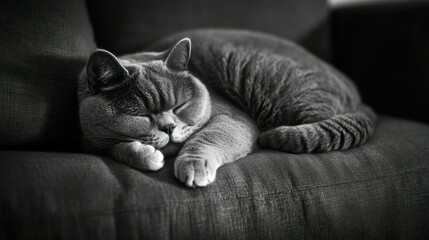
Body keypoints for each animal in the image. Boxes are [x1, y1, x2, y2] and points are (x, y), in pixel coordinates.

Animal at [77, 29, 374, 188]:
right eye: (140, 115)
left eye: (180, 106)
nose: (169, 127)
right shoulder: (93, 139)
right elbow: (114, 146)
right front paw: (144, 154)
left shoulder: (233, 118)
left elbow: (205, 137)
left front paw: (193, 165)